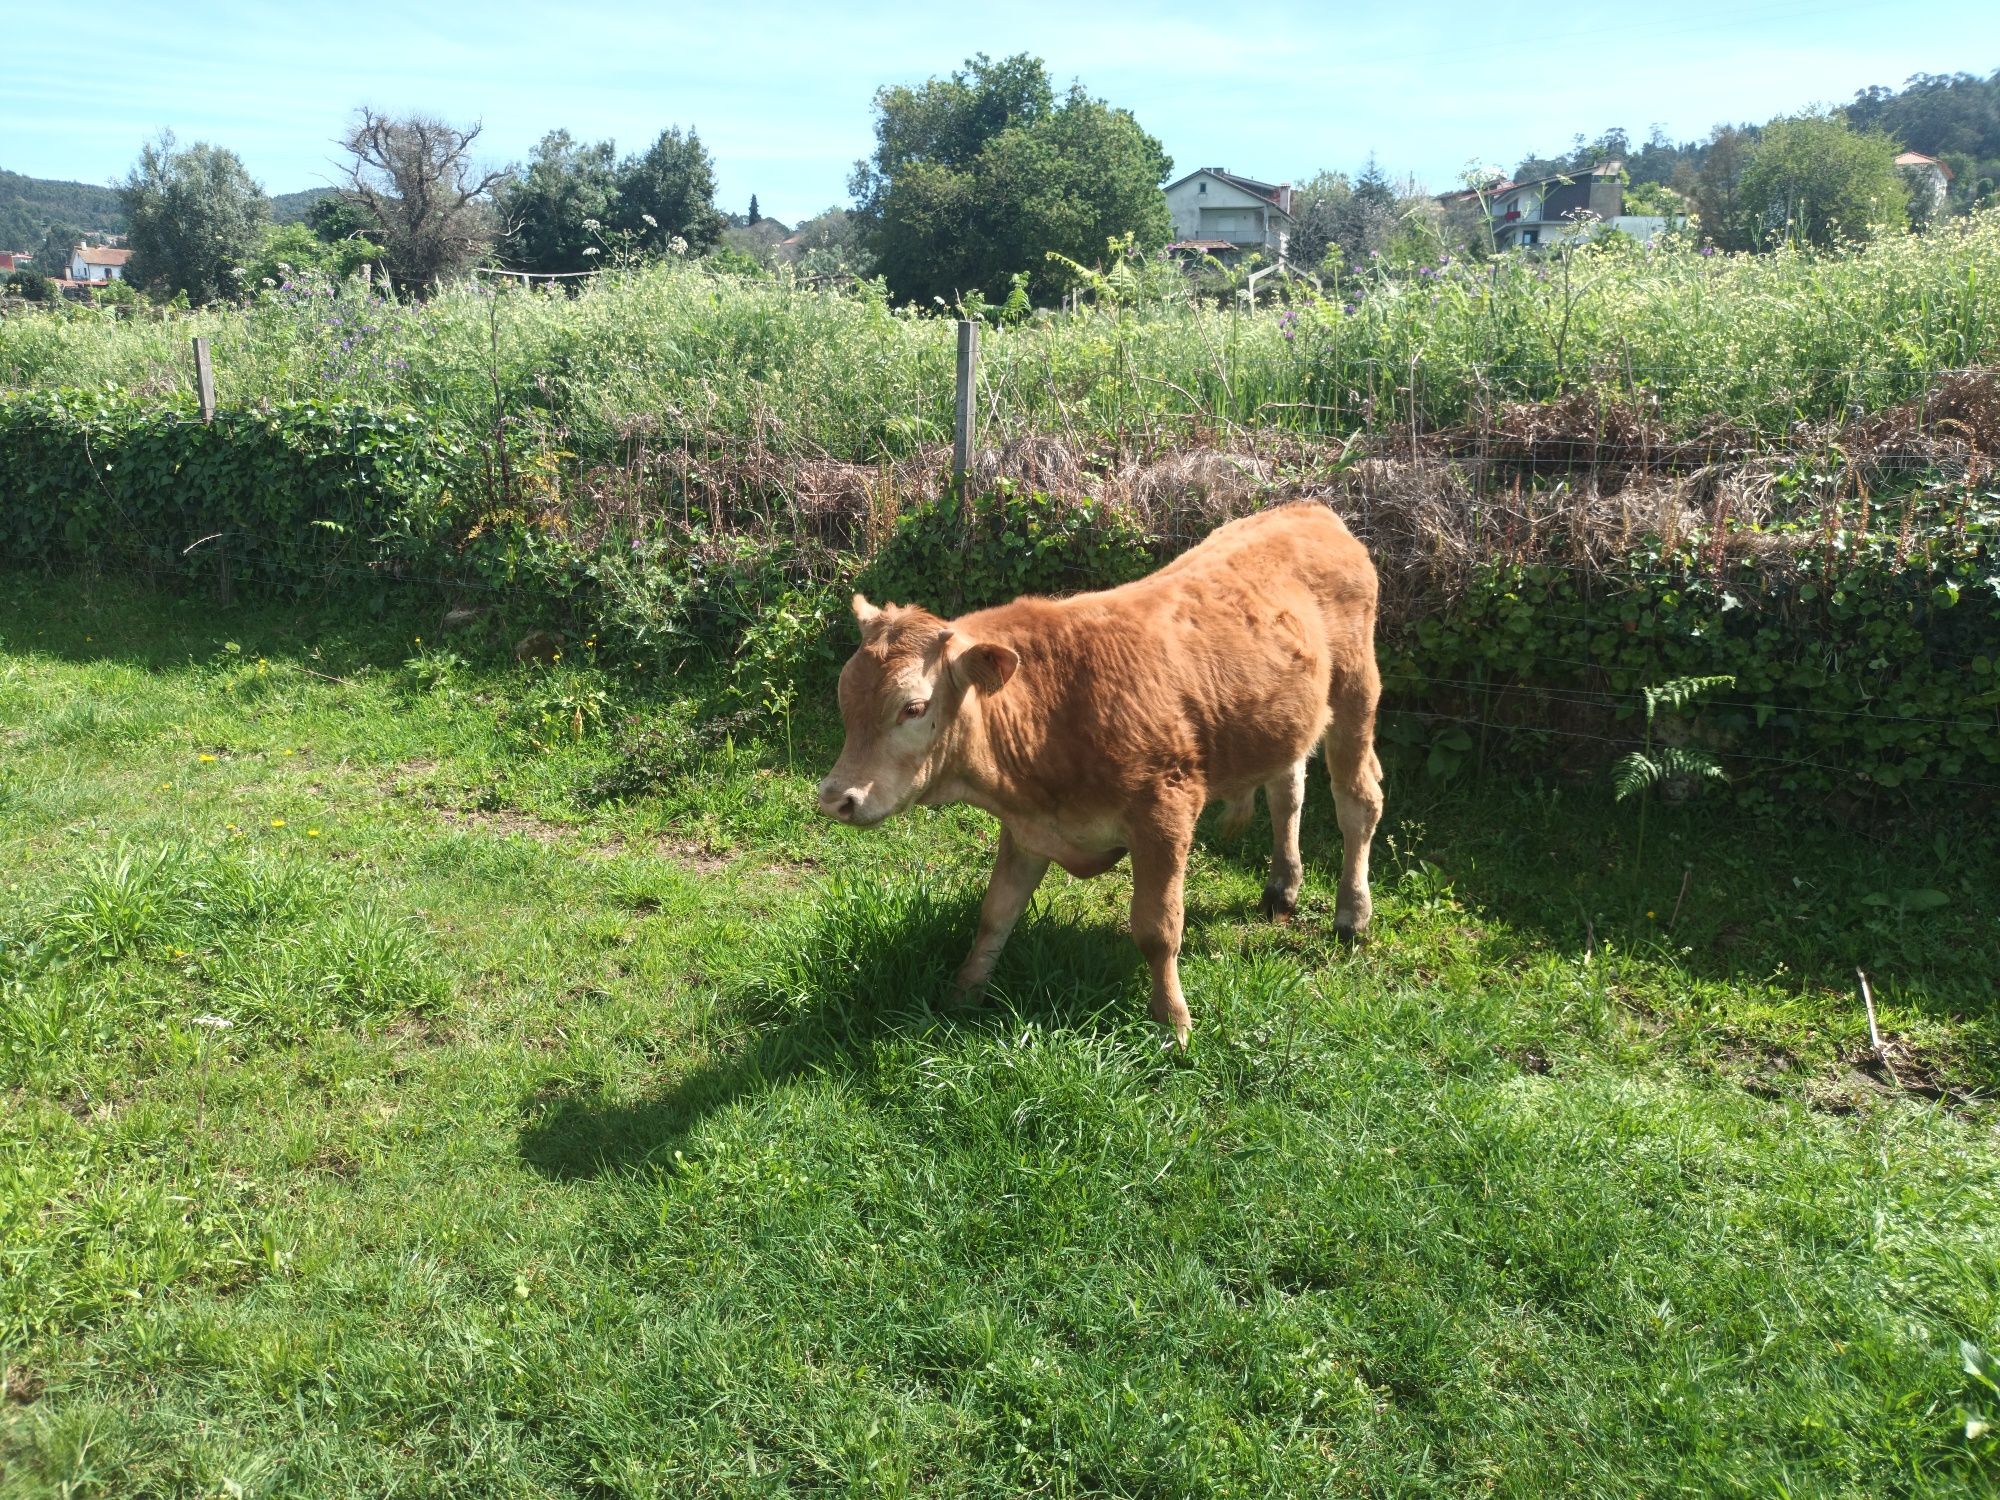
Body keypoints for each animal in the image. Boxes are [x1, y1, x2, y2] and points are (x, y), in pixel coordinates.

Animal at [820, 506, 1384, 1048]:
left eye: (913, 708)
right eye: (844, 695)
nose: (835, 798)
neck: (1052, 711)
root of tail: (1312, 511)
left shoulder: (1165, 814)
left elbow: (1157, 929)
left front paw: (1173, 1022)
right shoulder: (1027, 829)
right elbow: (995, 913)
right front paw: (963, 994)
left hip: (1356, 693)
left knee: (1358, 801)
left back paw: (1351, 914)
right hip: (1284, 719)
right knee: (1288, 791)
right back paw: (1281, 888)